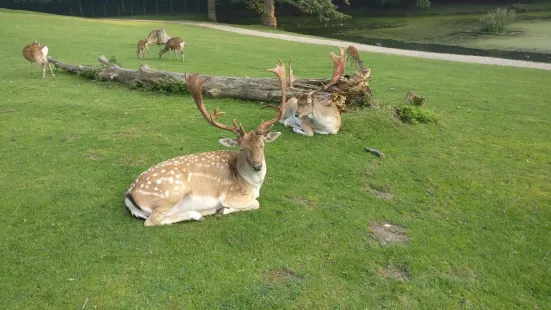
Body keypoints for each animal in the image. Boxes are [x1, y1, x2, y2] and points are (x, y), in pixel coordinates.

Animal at [124, 60, 288, 226]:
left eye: (263, 145)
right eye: (242, 148)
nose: (257, 166)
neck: (252, 185)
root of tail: (129, 197)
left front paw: (220, 210)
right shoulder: (231, 194)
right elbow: (256, 203)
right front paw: (224, 209)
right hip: (171, 192)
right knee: (152, 221)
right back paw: (200, 214)